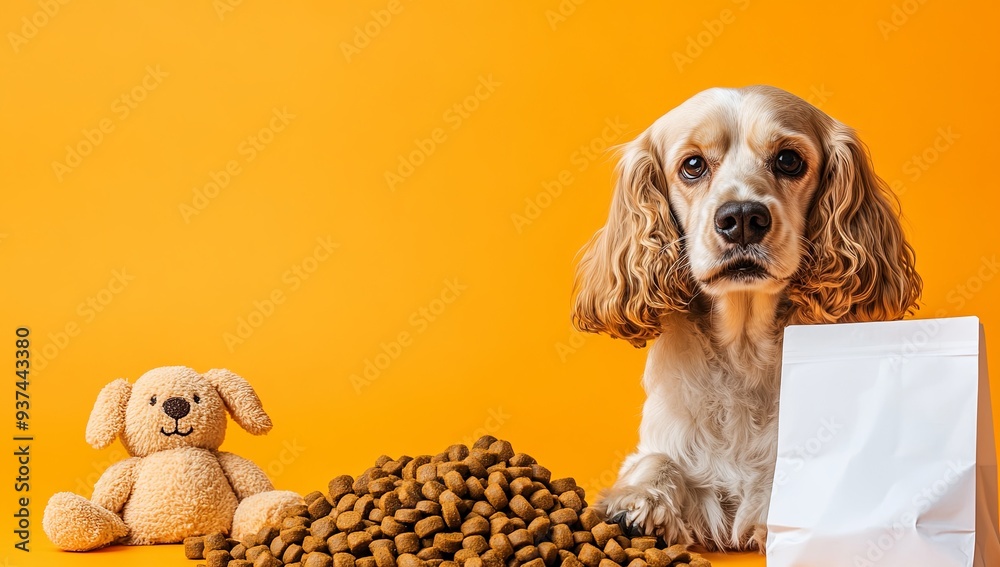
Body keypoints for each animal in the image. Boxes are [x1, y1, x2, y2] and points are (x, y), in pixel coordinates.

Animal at [572, 86, 920, 552]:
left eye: (789, 160)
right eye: (693, 165)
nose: (741, 218)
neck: (744, 350)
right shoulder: (667, 443)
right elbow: (658, 462)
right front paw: (640, 503)